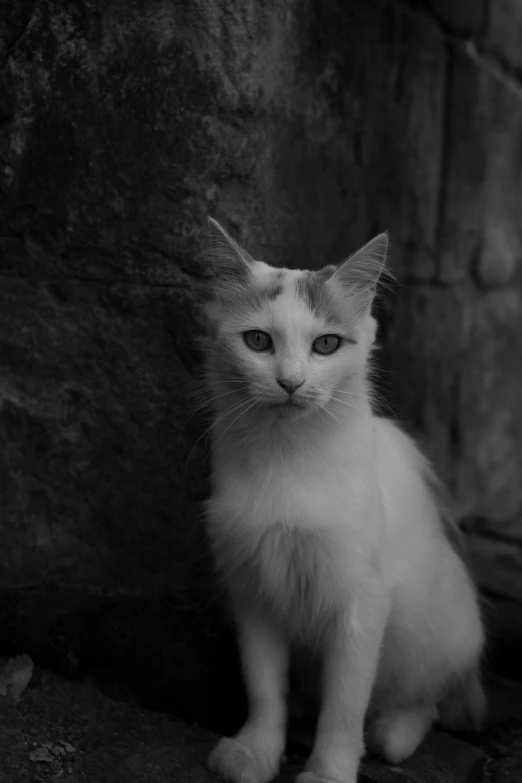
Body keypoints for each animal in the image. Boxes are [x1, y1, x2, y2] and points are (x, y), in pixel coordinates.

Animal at [202, 217, 484, 783]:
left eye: (327, 344)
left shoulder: (363, 601)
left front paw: (329, 771)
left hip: (435, 632)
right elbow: (263, 687)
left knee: (427, 701)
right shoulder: (253, 587)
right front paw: (256, 751)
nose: (290, 382)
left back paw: (392, 734)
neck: (286, 457)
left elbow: (346, 703)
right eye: (258, 341)